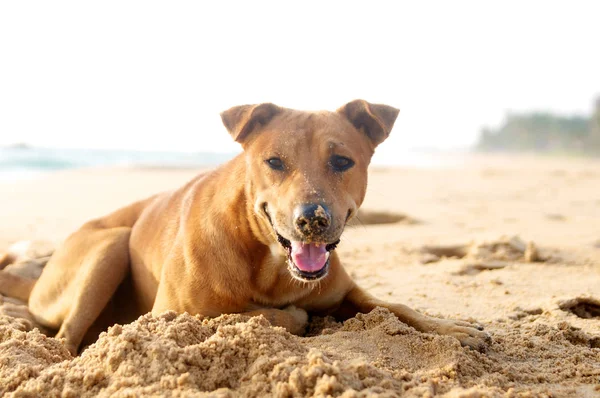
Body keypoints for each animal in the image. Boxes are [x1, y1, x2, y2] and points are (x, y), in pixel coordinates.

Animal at [0, 100, 490, 354]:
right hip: (110, 247)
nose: (311, 219)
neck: (269, 262)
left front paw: (453, 329)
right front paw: (291, 315)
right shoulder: (171, 312)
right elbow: (261, 314)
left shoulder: (346, 291)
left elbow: (398, 307)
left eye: (341, 161)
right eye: (274, 162)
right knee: (65, 339)